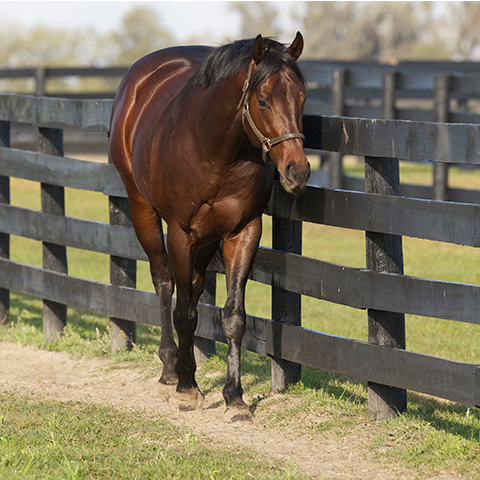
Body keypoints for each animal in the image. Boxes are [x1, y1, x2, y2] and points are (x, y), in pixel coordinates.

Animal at [109, 31, 312, 422]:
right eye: (262, 100)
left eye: (302, 98)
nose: (297, 170)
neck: (216, 149)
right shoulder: (182, 233)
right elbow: (184, 312)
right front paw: (187, 390)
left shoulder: (244, 232)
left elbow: (233, 316)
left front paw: (235, 397)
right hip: (143, 209)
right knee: (164, 282)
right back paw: (170, 371)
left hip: (205, 242)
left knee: (194, 286)